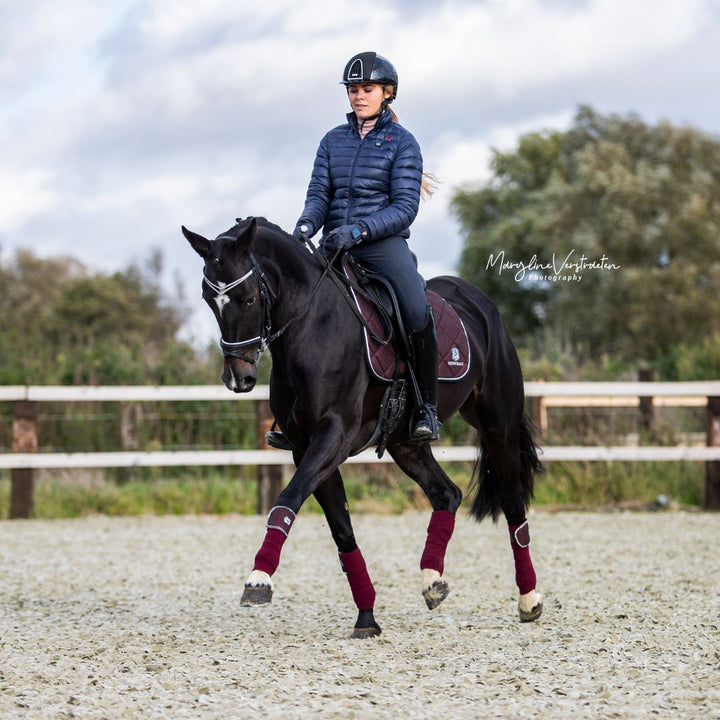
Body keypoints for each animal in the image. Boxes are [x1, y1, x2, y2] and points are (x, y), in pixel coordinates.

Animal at [183, 217, 544, 640]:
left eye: (248, 299)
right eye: (209, 299)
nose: (238, 378)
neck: (313, 327)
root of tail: (480, 302)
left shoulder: (333, 437)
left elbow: (286, 499)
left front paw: (259, 579)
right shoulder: (305, 447)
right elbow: (341, 530)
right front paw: (367, 617)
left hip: (497, 424)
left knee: (512, 502)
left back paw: (529, 600)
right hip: (406, 442)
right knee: (447, 494)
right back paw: (432, 580)